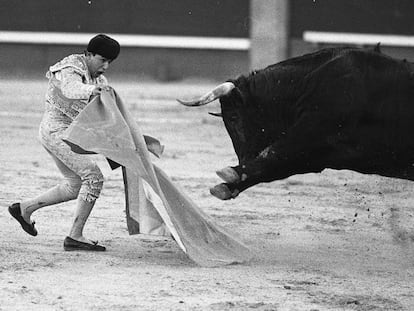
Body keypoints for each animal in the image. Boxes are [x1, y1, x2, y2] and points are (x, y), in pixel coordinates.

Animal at [177, 47, 414, 201]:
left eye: (234, 117)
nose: (243, 158)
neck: (309, 84)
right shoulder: (318, 155)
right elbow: (276, 166)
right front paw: (228, 186)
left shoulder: (313, 131)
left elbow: (274, 153)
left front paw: (232, 173)